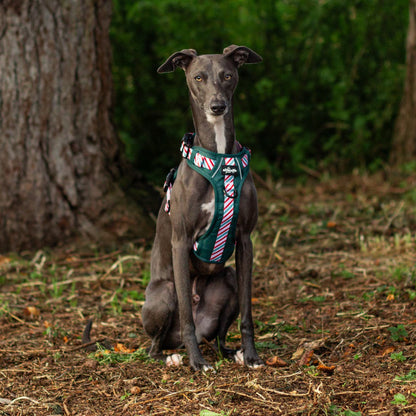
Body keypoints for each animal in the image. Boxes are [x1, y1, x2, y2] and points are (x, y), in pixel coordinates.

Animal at [141, 44, 262, 370]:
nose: (217, 106)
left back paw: (232, 352)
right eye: (198, 77)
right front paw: (197, 363)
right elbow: (186, 316)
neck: (219, 158)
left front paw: (252, 355)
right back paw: (173, 356)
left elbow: (247, 313)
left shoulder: (245, 239)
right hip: (164, 292)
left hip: (228, 280)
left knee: (218, 336)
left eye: (228, 75)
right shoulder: (181, 241)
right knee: (155, 345)